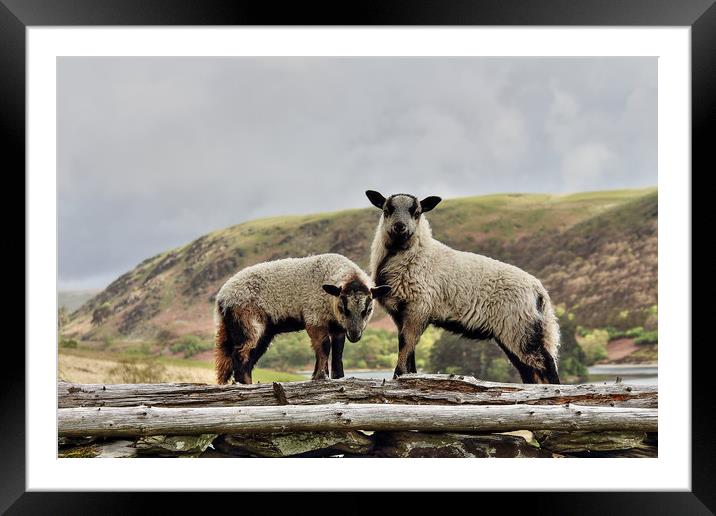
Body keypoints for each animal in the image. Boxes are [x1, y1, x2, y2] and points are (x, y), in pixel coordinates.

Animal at [214, 253, 388, 382]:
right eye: (342, 308)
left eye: (368, 310)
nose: (355, 335)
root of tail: (222, 298)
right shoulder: (314, 317)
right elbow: (324, 346)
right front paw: (320, 376)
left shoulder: (338, 327)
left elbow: (338, 352)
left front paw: (337, 377)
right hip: (248, 322)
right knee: (240, 356)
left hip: (260, 332)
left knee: (249, 358)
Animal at [366, 189, 564, 382]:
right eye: (386, 210)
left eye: (417, 213)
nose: (400, 227)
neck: (416, 254)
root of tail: (539, 291)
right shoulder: (400, 314)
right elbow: (409, 348)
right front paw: (410, 375)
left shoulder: (418, 308)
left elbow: (406, 344)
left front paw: (398, 375)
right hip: (517, 331)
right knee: (531, 371)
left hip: (519, 328)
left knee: (546, 364)